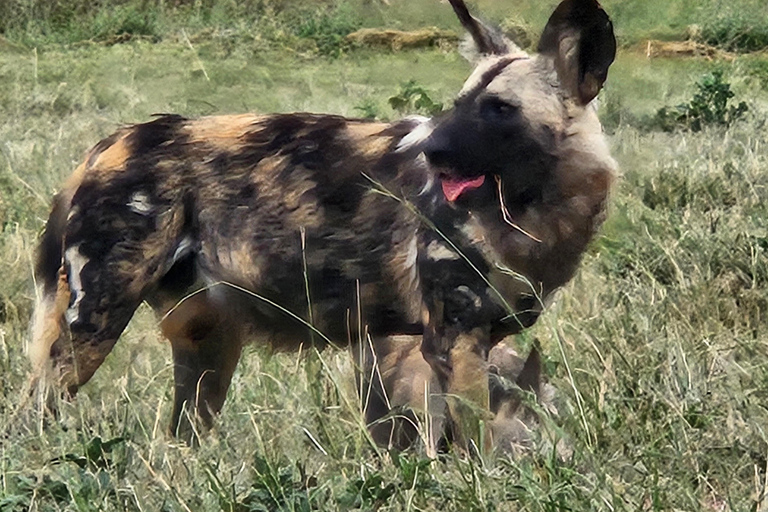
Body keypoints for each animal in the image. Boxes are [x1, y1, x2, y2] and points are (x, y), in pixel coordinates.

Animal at [28, 0, 616, 450]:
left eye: (499, 109)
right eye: (459, 104)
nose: (432, 148)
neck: (529, 210)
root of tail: (111, 143)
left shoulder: (449, 343)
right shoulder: (451, 340)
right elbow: (475, 445)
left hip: (207, 349)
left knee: (178, 441)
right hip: (93, 324)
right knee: (34, 410)